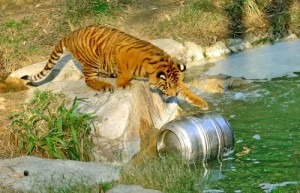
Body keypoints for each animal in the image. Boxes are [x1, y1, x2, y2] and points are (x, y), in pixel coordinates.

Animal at [21, 25, 209, 110]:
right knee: (89, 79)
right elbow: (124, 72)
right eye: (167, 86)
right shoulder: (121, 54)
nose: (171, 96)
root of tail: (70, 33)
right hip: (92, 61)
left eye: (174, 87)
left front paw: (202, 103)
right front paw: (124, 83)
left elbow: (188, 91)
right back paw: (105, 85)